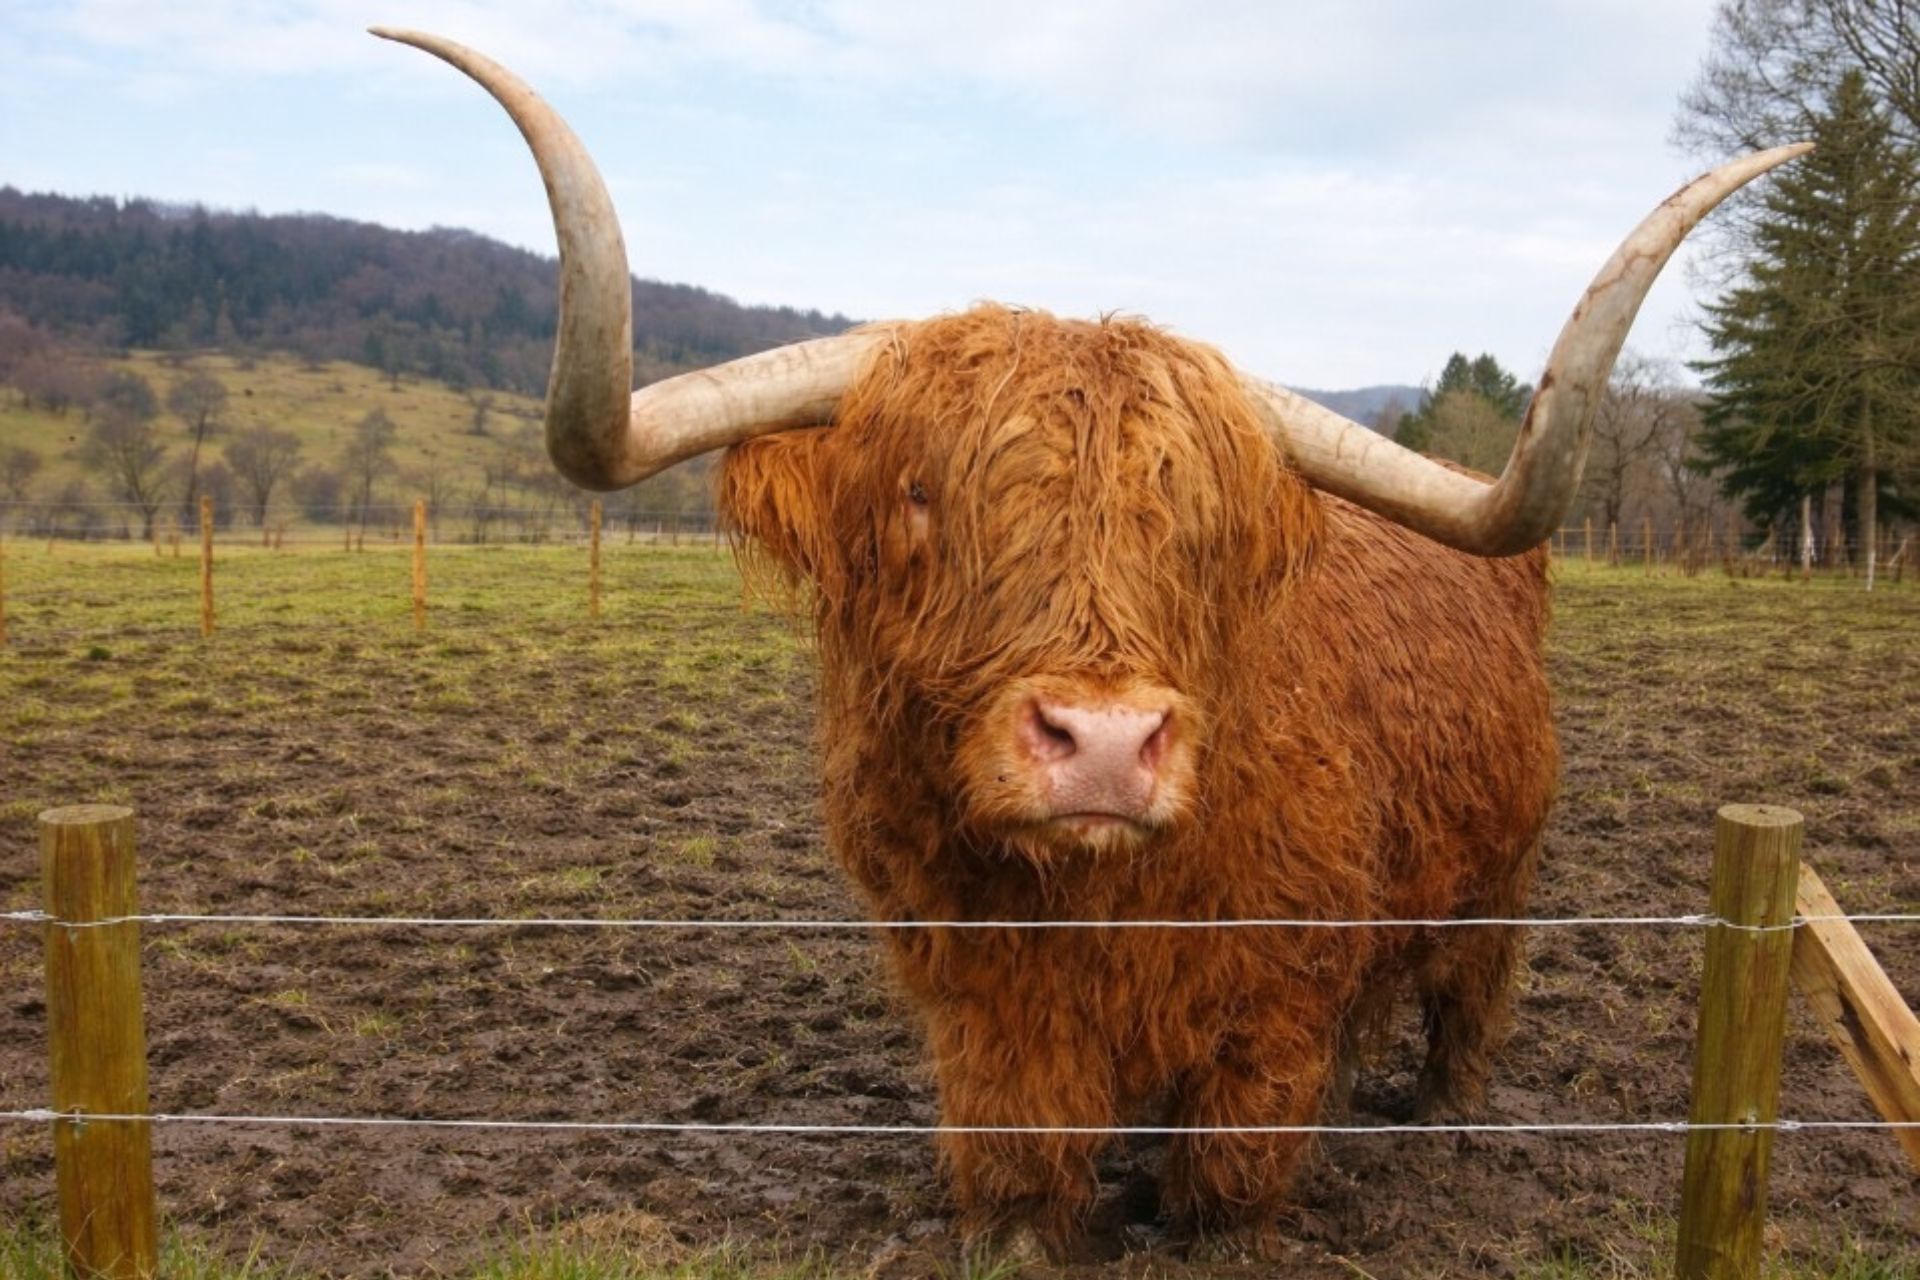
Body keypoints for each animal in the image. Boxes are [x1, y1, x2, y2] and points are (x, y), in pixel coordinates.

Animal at [371, 27, 1805, 1262]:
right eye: (920, 494)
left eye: (1200, 526)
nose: (1107, 745)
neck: (1096, 900)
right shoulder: (981, 982)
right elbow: (1019, 1133)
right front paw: (1020, 1231)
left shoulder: (1273, 992)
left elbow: (1234, 1157)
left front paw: (1215, 1232)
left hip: (1498, 871)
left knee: (1468, 987)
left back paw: (1442, 1108)